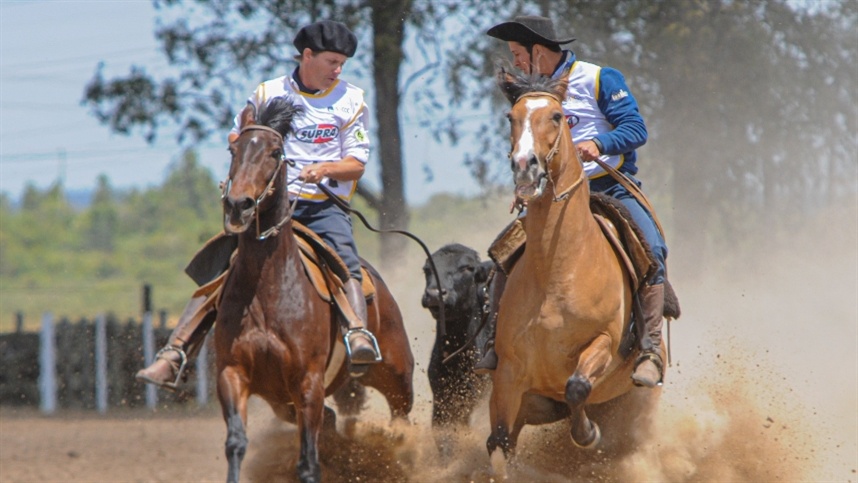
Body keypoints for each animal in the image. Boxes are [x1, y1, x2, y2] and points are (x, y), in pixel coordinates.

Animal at [216, 98, 412, 483]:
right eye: (234, 149)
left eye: (275, 152)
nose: (238, 205)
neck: (268, 290)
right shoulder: (233, 374)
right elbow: (236, 443)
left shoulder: (307, 382)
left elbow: (307, 460)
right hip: (285, 401)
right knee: (334, 423)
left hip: (397, 374)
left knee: (402, 421)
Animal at [482, 71, 664, 462]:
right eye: (511, 117)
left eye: (557, 116)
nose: (525, 165)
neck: (557, 271)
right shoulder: (508, 376)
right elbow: (499, 440)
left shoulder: (604, 342)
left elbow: (577, 386)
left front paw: (587, 434)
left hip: (638, 403)